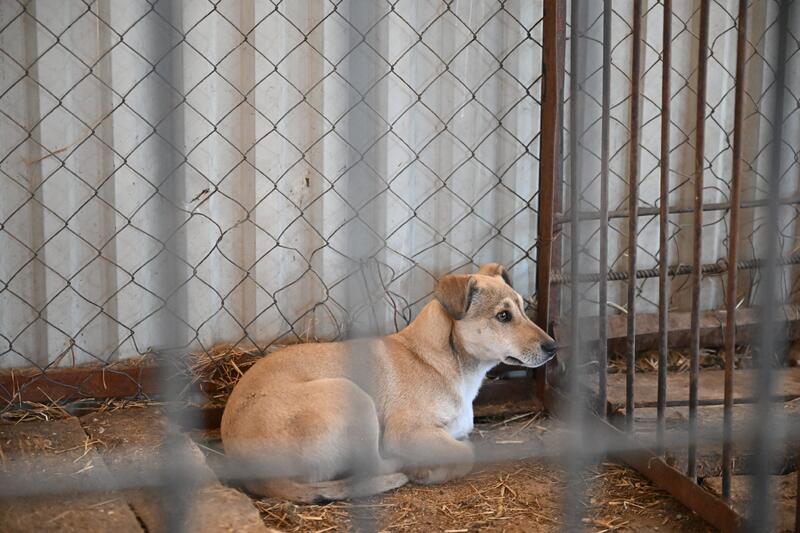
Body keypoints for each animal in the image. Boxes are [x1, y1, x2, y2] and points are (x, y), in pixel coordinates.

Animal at [220, 263, 557, 502]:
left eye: (523, 309)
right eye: (503, 316)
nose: (554, 347)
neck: (444, 359)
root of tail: (260, 477)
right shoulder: (406, 433)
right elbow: (467, 454)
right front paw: (429, 470)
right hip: (352, 395)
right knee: (372, 468)